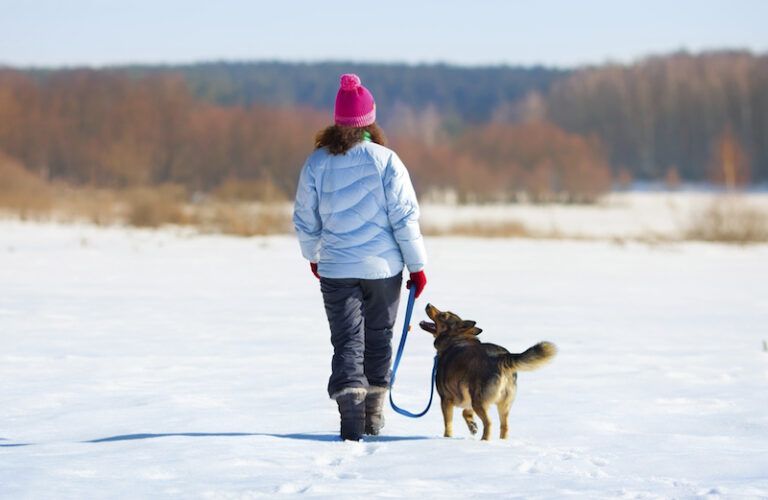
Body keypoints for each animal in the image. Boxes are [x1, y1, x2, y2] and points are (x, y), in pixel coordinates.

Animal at [420, 302, 560, 440]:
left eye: (443, 315)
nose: (428, 304)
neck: (455, 338)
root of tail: (501, 357)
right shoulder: (467, 398)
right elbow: (465, 412)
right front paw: (472, 426)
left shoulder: (446, 399)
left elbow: (448, 424)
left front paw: (447, 438)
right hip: (502, 403)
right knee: (504, 426)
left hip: (479, 401)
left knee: (488, 423)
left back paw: (484, 441)